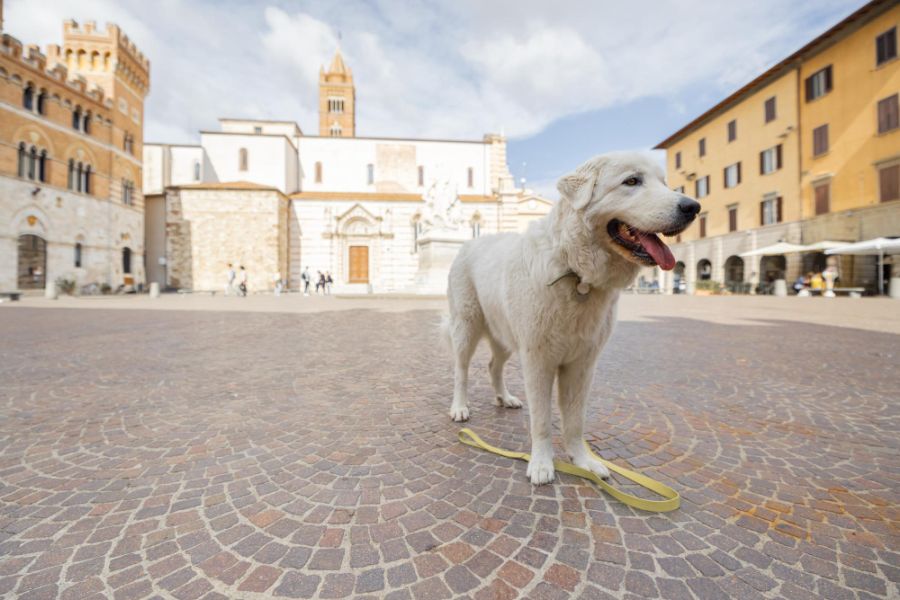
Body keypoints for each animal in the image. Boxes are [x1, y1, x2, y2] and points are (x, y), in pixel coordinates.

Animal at [446, 152, 700, 486]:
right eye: (632, 181)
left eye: (665, 184)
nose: (693, 207)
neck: (577, 275)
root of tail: (470, 243)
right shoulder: (538, 361)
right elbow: (542, 421)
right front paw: (542, 465)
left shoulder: (581, 364)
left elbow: (575, 420)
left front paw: (583, 462)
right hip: (466, 328)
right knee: (461, 371)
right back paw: (460, 408)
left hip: (506, 337)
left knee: (493, 366)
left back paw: (505, 398)